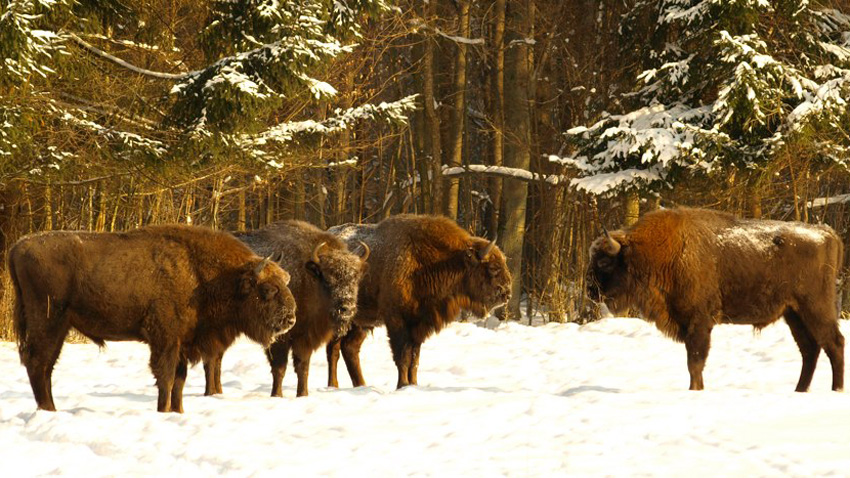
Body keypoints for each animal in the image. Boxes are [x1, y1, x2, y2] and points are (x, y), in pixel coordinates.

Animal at [6, 226, 294, 412]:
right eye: (268, 290)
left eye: (287, 281)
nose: (290, 319)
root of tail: (18, 247)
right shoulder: (165, 340)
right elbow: (166, 378)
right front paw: (164, 411)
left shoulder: (182, 343)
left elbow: (179, 381)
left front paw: (177, 412)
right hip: (49, 322)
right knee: (38, 363)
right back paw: (48, 410)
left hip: (58, 327)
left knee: (44, 367)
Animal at [204, 220, 370, 396]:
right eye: (327, 278)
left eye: (355, 278)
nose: (346, 308)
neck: (308, 278)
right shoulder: (281, 338)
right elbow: (279, 369)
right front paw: (277, 395)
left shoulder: (304, 339)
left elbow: (303, 368)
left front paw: (302, 394)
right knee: (211, 361)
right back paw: (211, 393)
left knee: (216, 359)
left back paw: (217, 392)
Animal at [324, 215, 510, 390]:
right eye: (493, 268)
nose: (506, 293)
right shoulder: (397, 321)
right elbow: (403, 357)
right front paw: (402, 385)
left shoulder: (419, 324)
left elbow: (414, 359)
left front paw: (413, 385)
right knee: (333, 350)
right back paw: (334, 385)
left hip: (359, 323)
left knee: (349, 349)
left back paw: (361, 385)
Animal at [588, 207, 844, 390]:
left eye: (604, 262)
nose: (591, 291)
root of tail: (828, 233)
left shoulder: (699, 322)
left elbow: (695, 362)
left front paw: (695, 390)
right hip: (793, 313)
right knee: (810, 350)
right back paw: (800, 390)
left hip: (815, 308)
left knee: (834, 343)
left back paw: (836, 390)